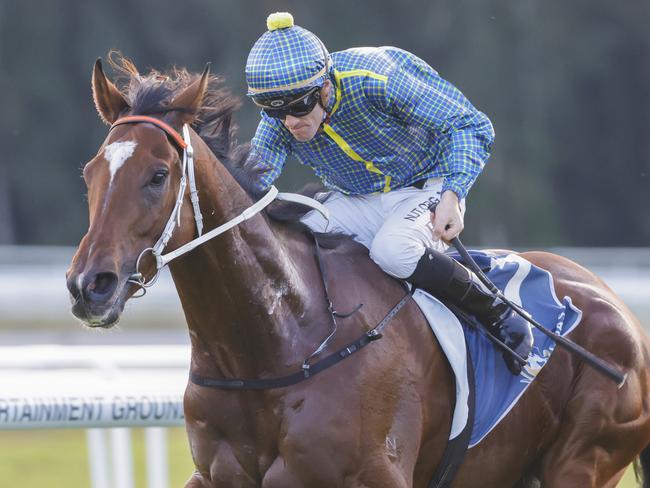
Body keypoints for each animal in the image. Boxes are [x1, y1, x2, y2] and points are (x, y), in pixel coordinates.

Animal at [68, 58, 648, 488]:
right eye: (91, 172)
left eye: (157, 175)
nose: (89, 286)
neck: (278, 341)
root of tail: (618, 306)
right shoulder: (214, 476)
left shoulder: (370, 475)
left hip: (583, 459)